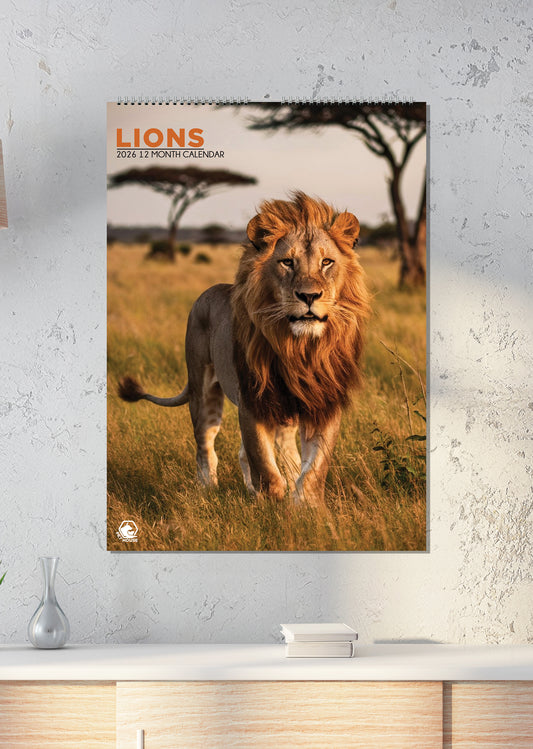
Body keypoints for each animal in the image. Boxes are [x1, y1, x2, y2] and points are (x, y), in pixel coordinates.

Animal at [119, 192, 370, 505]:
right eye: (287, 262)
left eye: (327, 262)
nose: (309, 296)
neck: (298, 348)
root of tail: (207, 292)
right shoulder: (253, 400)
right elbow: (263, 462)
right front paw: (271, 505)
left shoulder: (322, 401)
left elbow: (314, 468)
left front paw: (306, 507)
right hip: (203, 391)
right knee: (205, 446)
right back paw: (208, 490)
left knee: (274, 450)